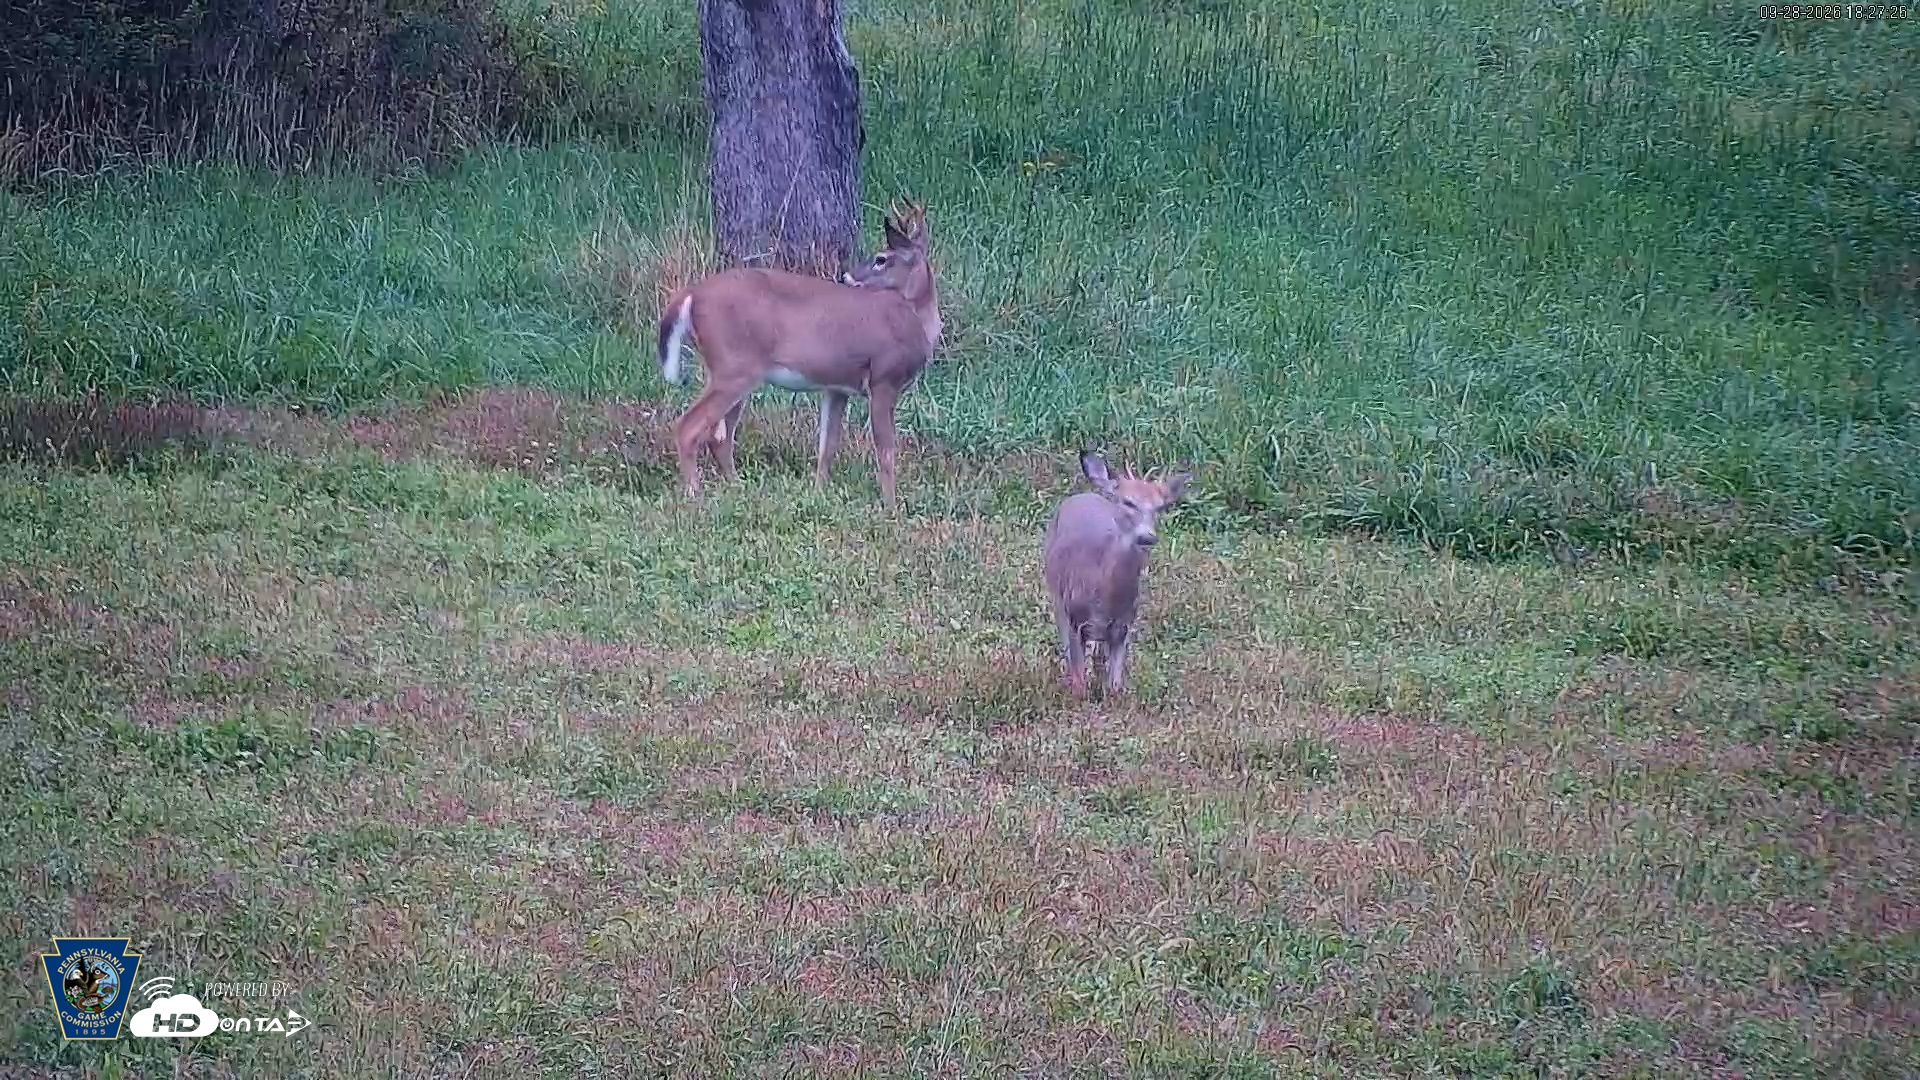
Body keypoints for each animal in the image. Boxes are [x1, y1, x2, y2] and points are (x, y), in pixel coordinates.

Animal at [654, 199, 941, 510]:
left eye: (881, 259)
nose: (846, 276)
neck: (918, 321)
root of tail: (691, 294)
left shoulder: (837, 387)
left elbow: (828, 446)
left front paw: (818, 495)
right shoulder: (883, 379)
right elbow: (886, 450)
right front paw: (891, 508)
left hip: (731, 371)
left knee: (720, 436)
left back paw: (738, 488)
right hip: (733, 367)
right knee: (689, 427)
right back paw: (696, 495)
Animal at [1043, 450, 1192, 700]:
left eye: (1160, 507)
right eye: (1128, 502)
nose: (1147, 536)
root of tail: (1084, 494)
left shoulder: (1124, 627)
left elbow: (1114, 686)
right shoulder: (1075, 618)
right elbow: (1078, 681)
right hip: (1056, 595)